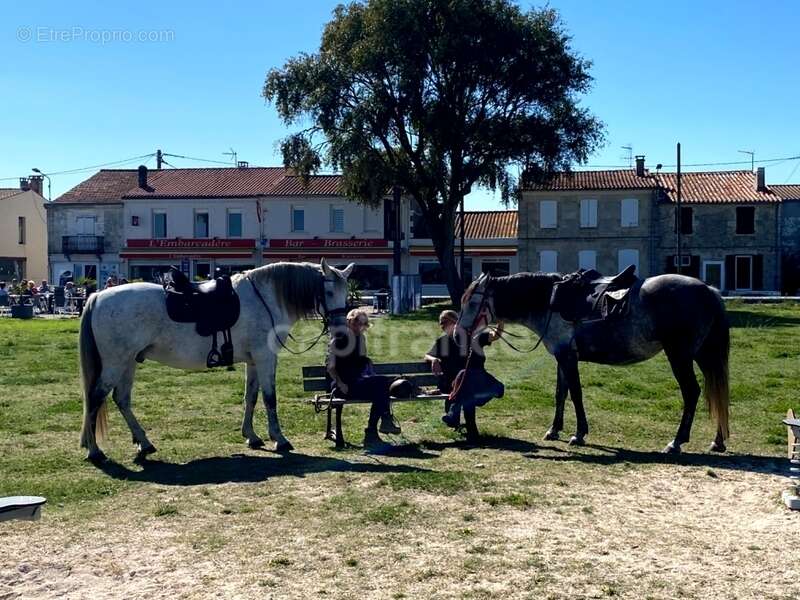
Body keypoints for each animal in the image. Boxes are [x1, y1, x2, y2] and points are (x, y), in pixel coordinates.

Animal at [79, 260, 352, 462]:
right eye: (328, 291)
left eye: (346, 292)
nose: (340, 333)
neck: (266, 298)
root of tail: (97, 296)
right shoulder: (265, 358)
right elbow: (269, 398)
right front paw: (280, 439)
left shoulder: (253, 361)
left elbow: (250, 397)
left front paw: (251, 436)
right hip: (116, 363)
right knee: (95, 398)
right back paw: (95, 451)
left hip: (128, 362)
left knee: (121, 399)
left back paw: (144, 443)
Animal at [456, 270, 732, 452]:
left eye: (472, 300)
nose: (458, 334)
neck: (550, 301)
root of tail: (708, 290)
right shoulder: (561, 356)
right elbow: (561, 394)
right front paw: (554, 430)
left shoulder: (568, 357)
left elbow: (576, 394)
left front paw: (579, 434)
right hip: (703, 355)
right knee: (716, 392)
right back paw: (717, 441)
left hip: (679, 356)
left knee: (692, 392)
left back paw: (676, 442)